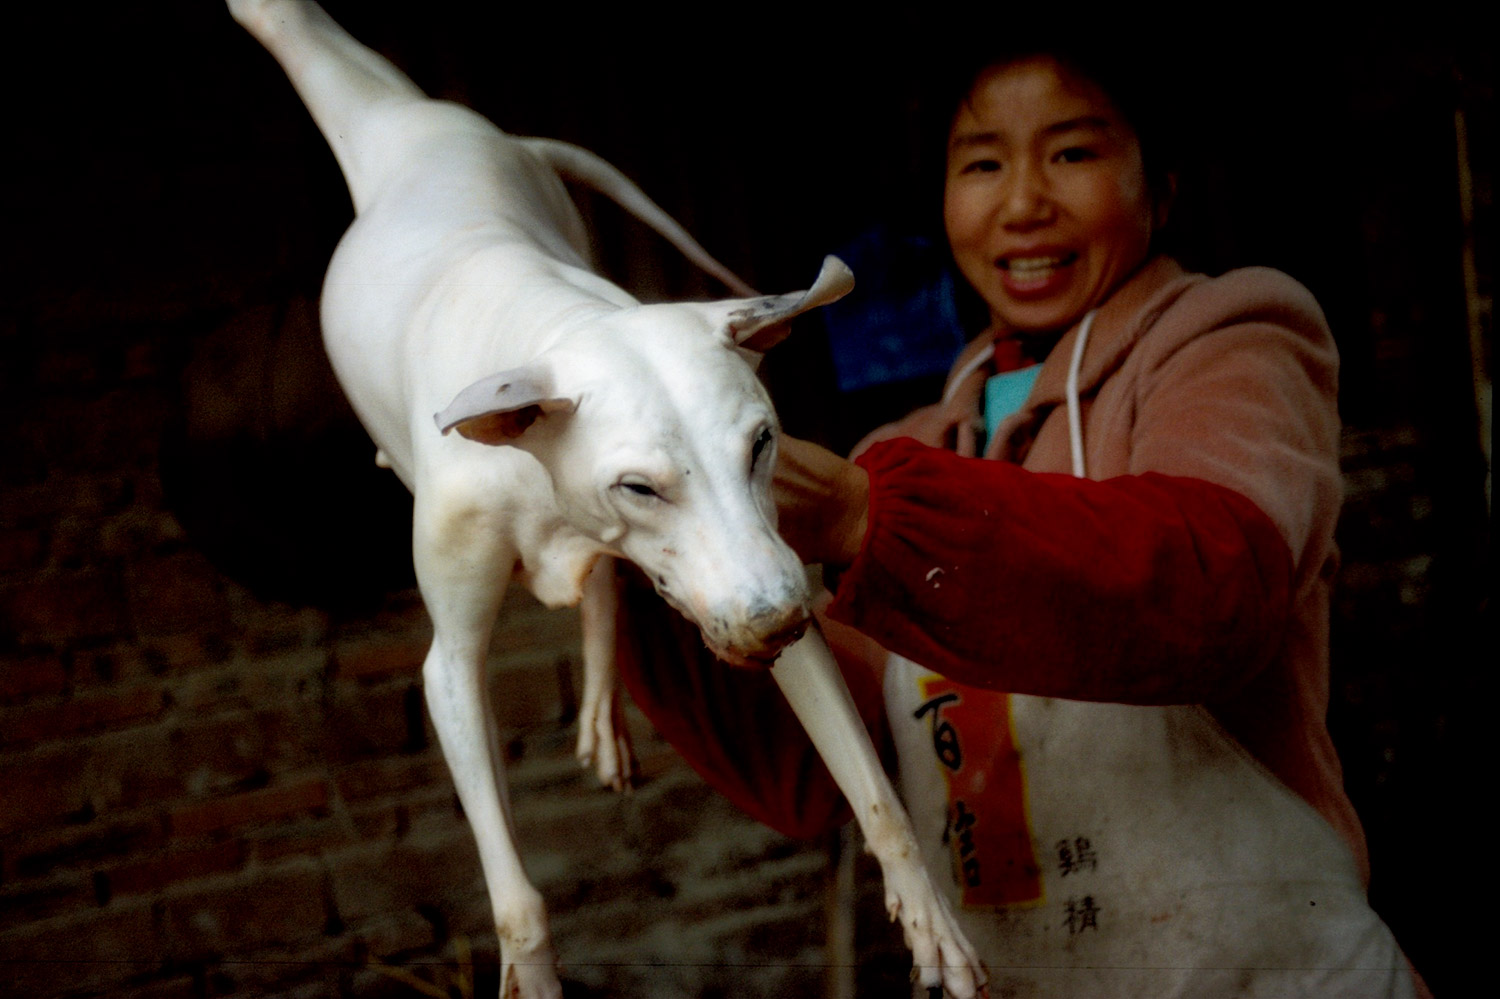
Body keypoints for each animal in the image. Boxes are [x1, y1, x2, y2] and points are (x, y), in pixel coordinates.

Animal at [225, 3, 984, 990]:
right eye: (639, 485)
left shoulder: (754, 570)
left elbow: (874, 791)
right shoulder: (452, 665)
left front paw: (931, 919)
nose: (777, 615)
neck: (551, 327)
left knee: (606, 585)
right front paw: (532, 971)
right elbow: (516, 895)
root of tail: (420, 126)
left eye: (762, 443)